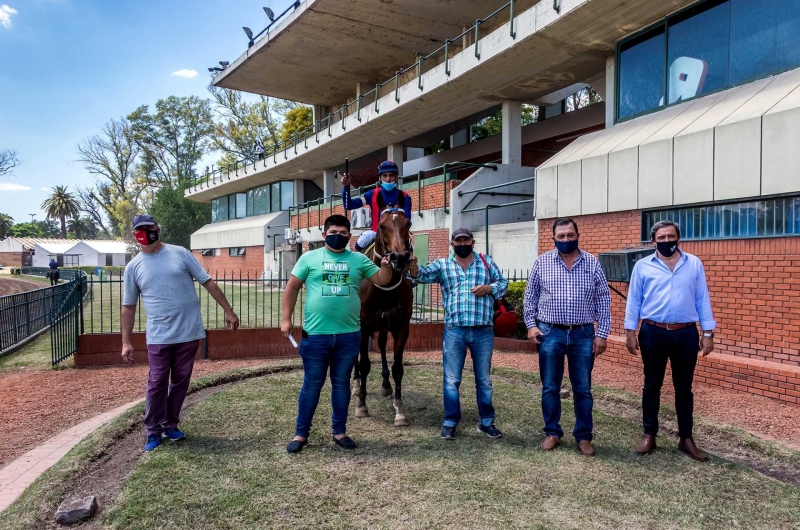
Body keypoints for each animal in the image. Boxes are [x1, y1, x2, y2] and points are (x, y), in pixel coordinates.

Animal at [352, 204, 412, 422]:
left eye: (408, 223)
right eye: (382, 225)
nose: (399, 257)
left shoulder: (401, 327)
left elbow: (398, 368)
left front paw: (399, 409)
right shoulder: (363, 327)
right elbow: (364, 364)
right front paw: (362, 405)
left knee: (382, 343)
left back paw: (386, 386)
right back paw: (356, 385)